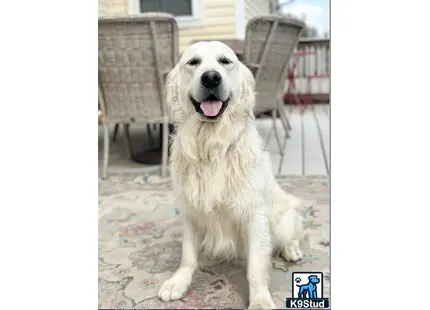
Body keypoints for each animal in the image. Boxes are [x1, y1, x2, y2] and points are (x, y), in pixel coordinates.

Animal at [156, 40, 304, 308]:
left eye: (225, 61)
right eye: (193, 62)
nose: (211, 78)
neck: (211, 145)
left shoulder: (254, 215)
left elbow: (255, 267)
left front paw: (260, 300)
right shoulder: (190, 212)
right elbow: (187, 255)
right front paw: (178, 281)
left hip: (282, 218)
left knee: (292, 234)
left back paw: (292, 250)